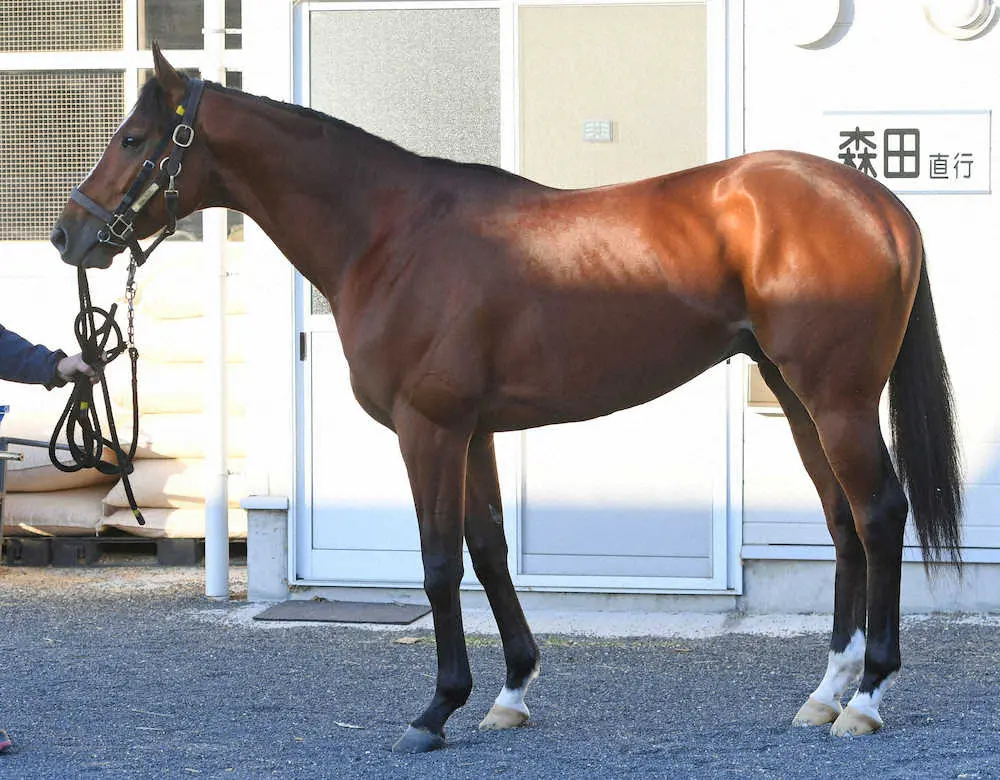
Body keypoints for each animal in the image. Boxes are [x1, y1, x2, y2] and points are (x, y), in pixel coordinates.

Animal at [51, 46, 962, 752]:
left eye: (133, 137)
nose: (69, 235)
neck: (389, 236)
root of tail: (878, 202)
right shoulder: (475, 431)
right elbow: (489, 547)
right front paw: (509, 693)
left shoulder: (428, 429)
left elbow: (438, 563)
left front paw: (436, 709)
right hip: (797, 396)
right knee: (843, 523)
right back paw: (826, 694)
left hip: (836, 400)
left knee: (879, 513)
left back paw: (868, 699)